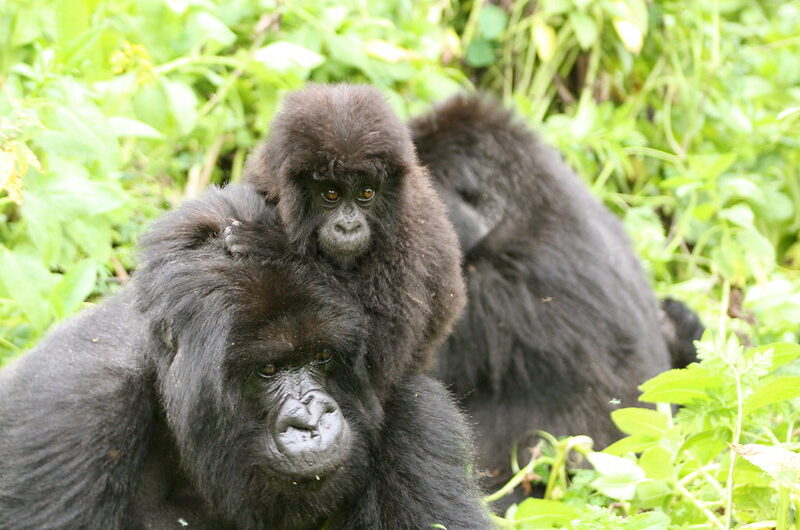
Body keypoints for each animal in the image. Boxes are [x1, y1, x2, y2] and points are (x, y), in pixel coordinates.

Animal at [225, 82, 466, 384]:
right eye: (331, 194)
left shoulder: (405, 242)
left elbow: (378, 354)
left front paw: (273, 244)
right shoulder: (263, 179)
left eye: (366, 193)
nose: (348, 227)